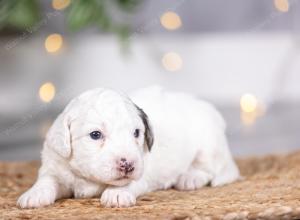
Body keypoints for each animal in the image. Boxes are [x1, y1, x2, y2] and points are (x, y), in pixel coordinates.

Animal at [17, 86, 240, 208]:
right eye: (95, 135)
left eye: (136, 133)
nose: (128, 165)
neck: (89, 178)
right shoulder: (54, 166)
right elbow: (47, 181)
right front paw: (33, 195)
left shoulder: (143, 173)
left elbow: (129, 183)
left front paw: (116, 193)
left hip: (208, 144)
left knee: (208, 169)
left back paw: (190, 178)